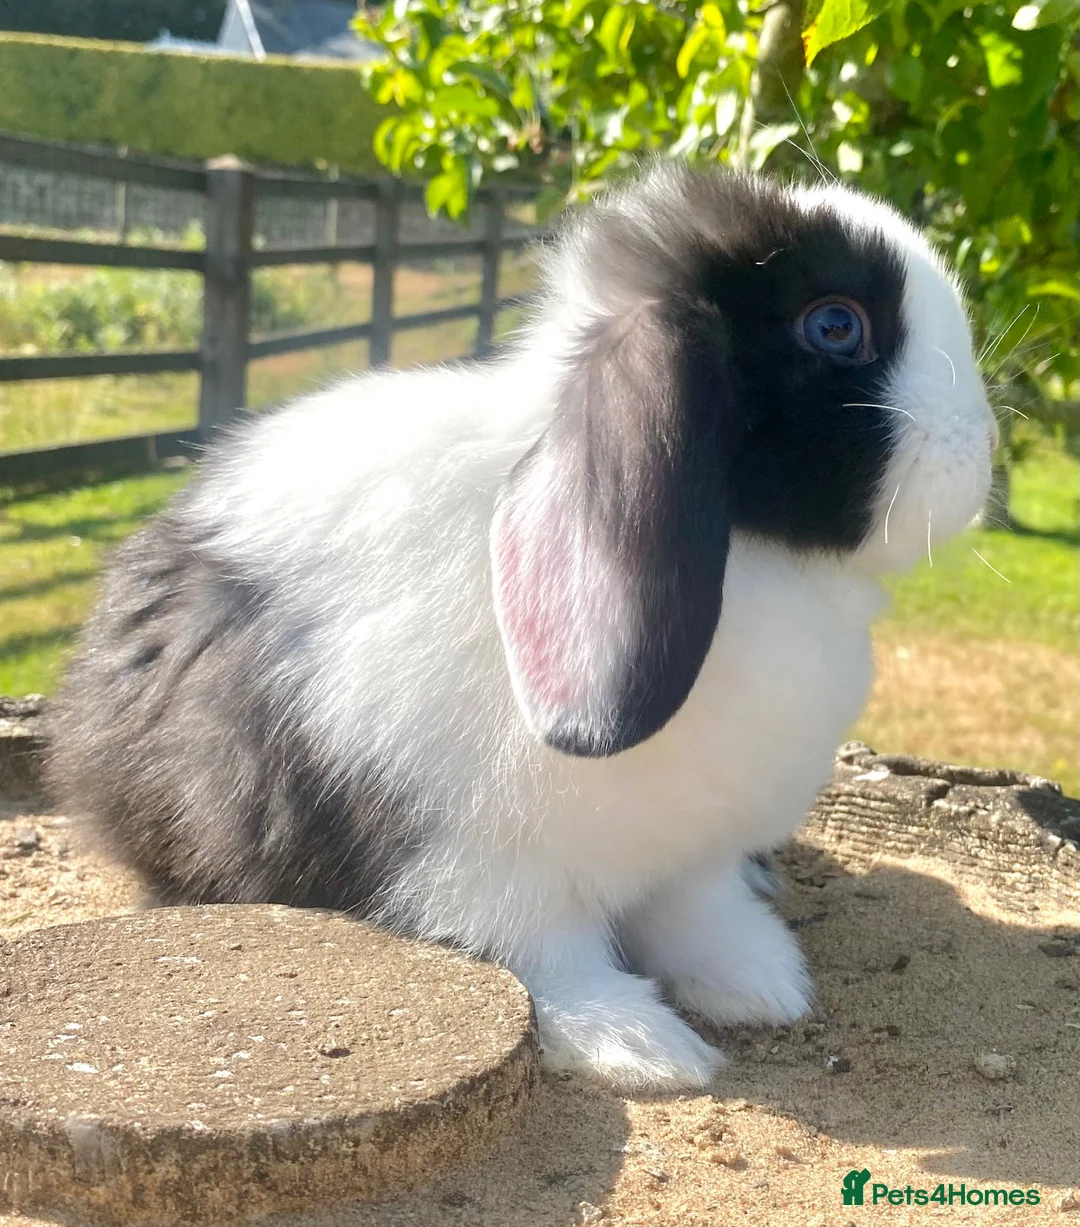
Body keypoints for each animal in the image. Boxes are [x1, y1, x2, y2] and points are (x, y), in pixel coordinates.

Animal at [48, 163, 998, 1090]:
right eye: (836, 325)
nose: (986, 447)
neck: (750, 552)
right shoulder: (480, 863)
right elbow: (545, 957)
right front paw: (641, 1044)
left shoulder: (691, 857)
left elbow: (698, 913)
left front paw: (760, 982)